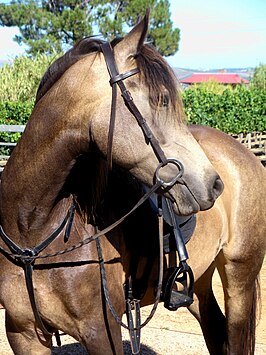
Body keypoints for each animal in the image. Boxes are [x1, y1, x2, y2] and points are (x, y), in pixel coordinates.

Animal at [0, 9, 264, 354]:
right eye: (161, 99)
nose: (214, 185)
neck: (35, 232)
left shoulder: (103, 332)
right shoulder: (23, 334)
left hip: (239, 277)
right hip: (199, 281)